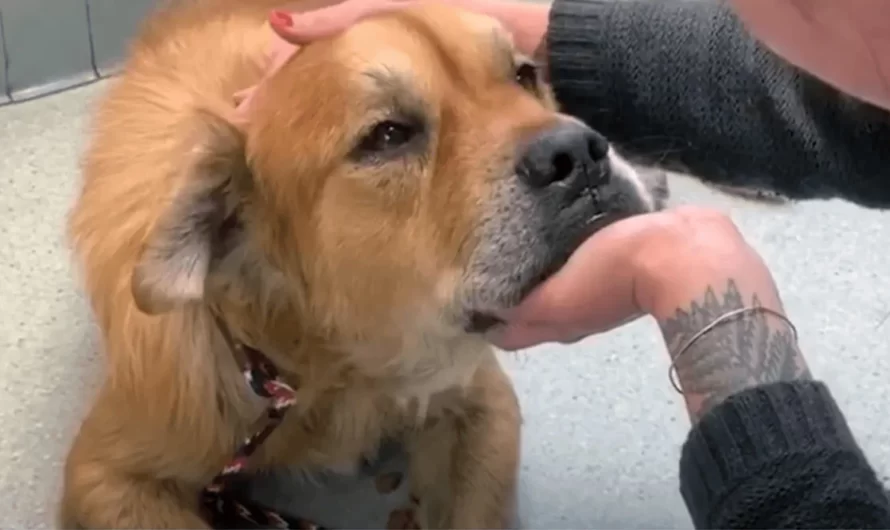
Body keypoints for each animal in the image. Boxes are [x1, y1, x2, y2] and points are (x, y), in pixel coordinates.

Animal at [60, 0, 664, 524]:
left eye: (523, 76)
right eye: (389, 135)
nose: (578, 154)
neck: (333, 370)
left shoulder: (481, 403)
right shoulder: (105, 474)